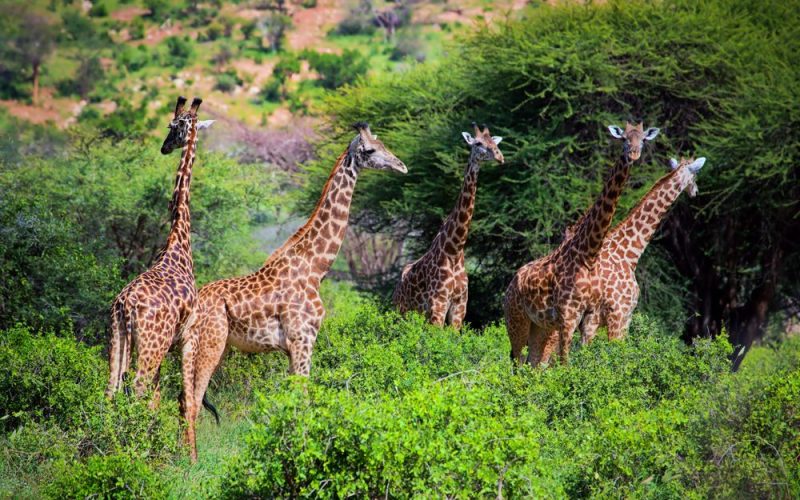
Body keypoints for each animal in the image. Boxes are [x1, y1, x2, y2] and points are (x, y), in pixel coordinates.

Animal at [105, 96, 216, 398]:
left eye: (173, 126)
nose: (164, 147)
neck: (178, 240)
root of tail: (126, 306)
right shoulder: (184, 335)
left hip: (118, 337)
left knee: (111, 388)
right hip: (152, 344)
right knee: (138, 388)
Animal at [180, 122, 406, 460]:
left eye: (382, 143)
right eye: (370, 150)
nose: (402, 166)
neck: (316, 267)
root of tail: (193, 306)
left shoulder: (292, 346)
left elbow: (291, 399)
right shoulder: (304, 339)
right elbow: (302, 399)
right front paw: (301, 454)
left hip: (191, 346)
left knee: (183, 400)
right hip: (211, 343)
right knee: (193, 401)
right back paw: (193, 463)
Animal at [390, 123, 504, 330]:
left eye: (494, 143)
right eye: (477, 143)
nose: (500, 157)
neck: (455, 250)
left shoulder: (460, 306)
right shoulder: (438, 304)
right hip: (401, 311)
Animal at [504, 120, 660, 364]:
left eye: (643, 139)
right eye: (624, 138)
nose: (633, 154)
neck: (587, 254)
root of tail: (511, 284)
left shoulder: (588, 316)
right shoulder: (568, 316)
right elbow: (567, 363)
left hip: (539, 326)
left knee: (532, 361)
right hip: (516, 320)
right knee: (518, 361)